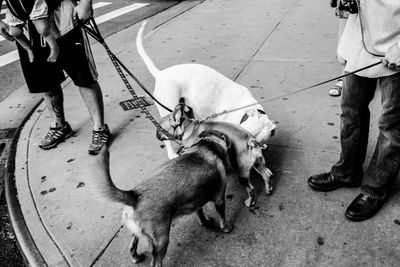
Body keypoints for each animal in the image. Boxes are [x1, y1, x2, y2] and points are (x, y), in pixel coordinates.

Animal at [92, 132, 233, 267]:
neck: (206, 146)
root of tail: (134, 195)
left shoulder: (196, 202)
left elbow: (200, 214)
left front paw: (205, 221)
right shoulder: (220, 200)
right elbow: (222, 217)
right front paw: (226, 228)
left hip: (137, 233)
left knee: (131, 247)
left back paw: (136, 257)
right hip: (161, 241)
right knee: (156, 263)